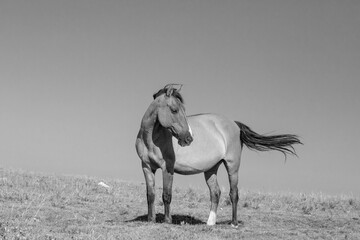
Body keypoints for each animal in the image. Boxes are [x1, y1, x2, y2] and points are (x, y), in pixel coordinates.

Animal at [135, 84, 300, 227]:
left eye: (182, 110)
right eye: (174, 110)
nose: (188, 138)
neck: (152, 139)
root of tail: (235, 124)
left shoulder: (167, 168)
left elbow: (166, 195)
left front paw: (167, 221)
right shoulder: (146, 167)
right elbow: (150, 194)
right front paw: (151, 220)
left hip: (232, 167)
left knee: (234, 193)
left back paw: (234, 223)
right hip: (211, 169)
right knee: (215, 193)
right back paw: (210, 223)